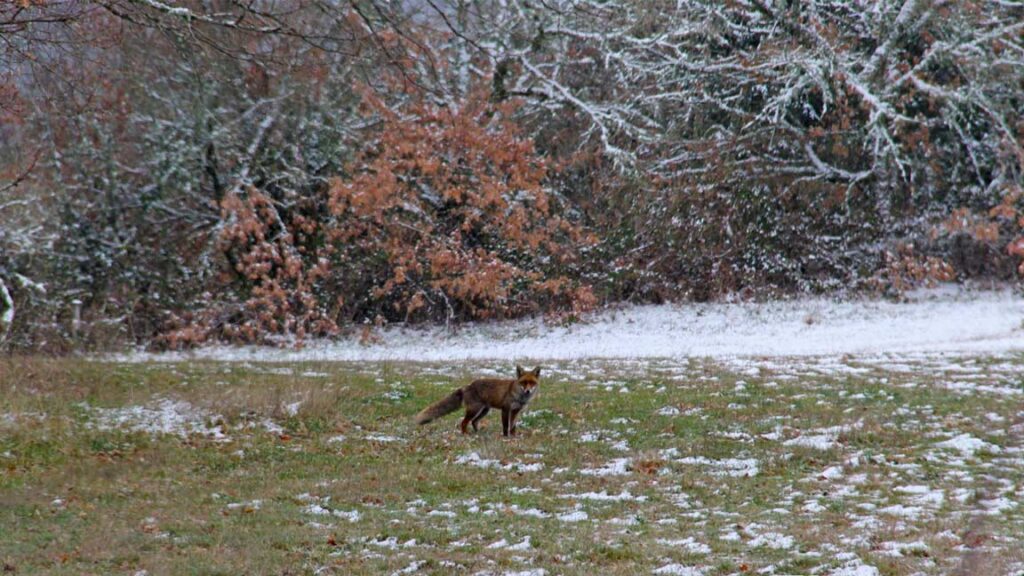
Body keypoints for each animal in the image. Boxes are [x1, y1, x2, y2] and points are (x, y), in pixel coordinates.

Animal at [415, 362, 544, 434]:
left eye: (532, 383)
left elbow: (513, 426)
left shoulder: (515, 411)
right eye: (524, 382)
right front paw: (505, 437)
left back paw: (478, 434)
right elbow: (506, 426)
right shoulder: (505, 409)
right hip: (474, 410)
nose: (528, 391)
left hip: (484, 410)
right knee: (464, 422)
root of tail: (467, 386)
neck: (519, 395)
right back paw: (466, 435)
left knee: (473, 422)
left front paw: (513, 437)